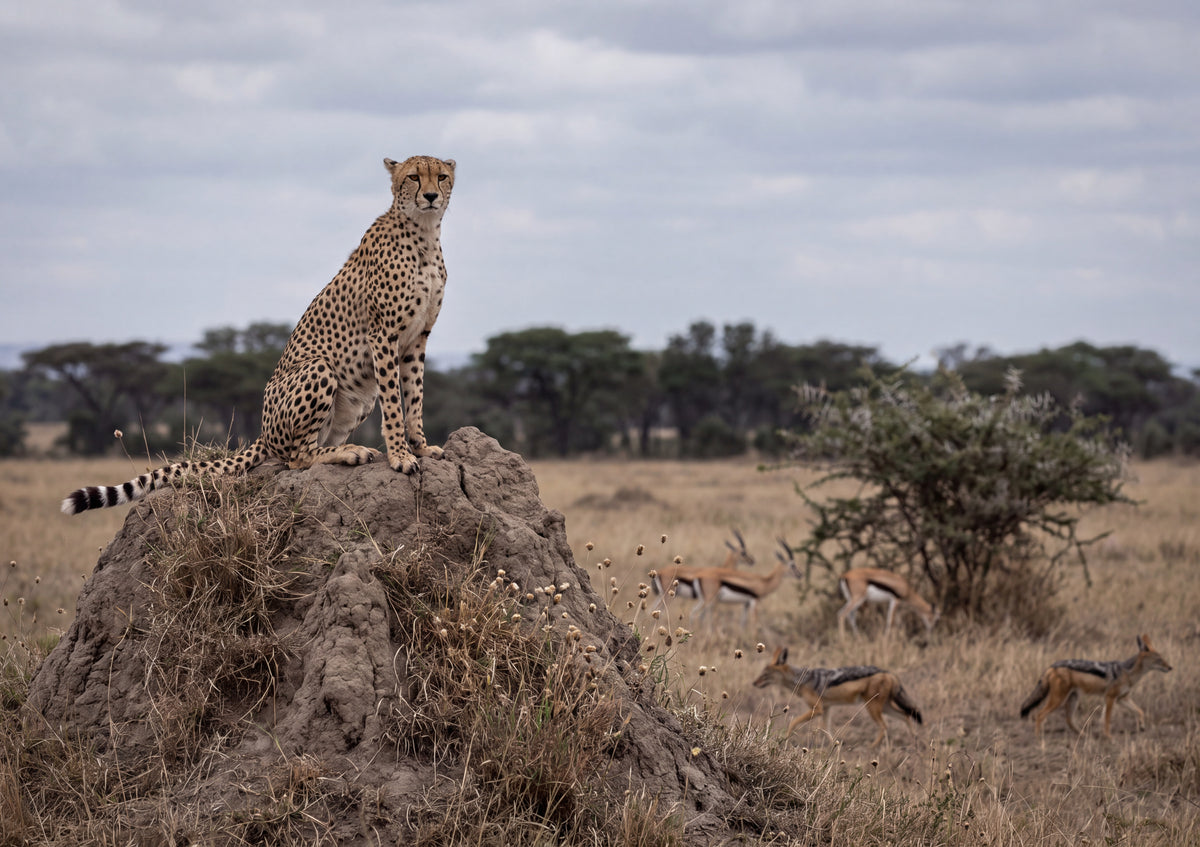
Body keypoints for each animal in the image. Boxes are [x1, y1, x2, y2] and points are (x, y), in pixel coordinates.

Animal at [62, 154, 456, 515]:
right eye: (413, 177)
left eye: (441, 176)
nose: (431, 195)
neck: (423, 233)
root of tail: (264, 431)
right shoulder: (383, 335)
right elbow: (394, 404)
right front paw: (401, 456)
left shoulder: (417, 339)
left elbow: (414, 398)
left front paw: (421, 447)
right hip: (319, 368)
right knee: (296, 456)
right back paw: (350, 452)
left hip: (359, 399)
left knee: (307, 447)